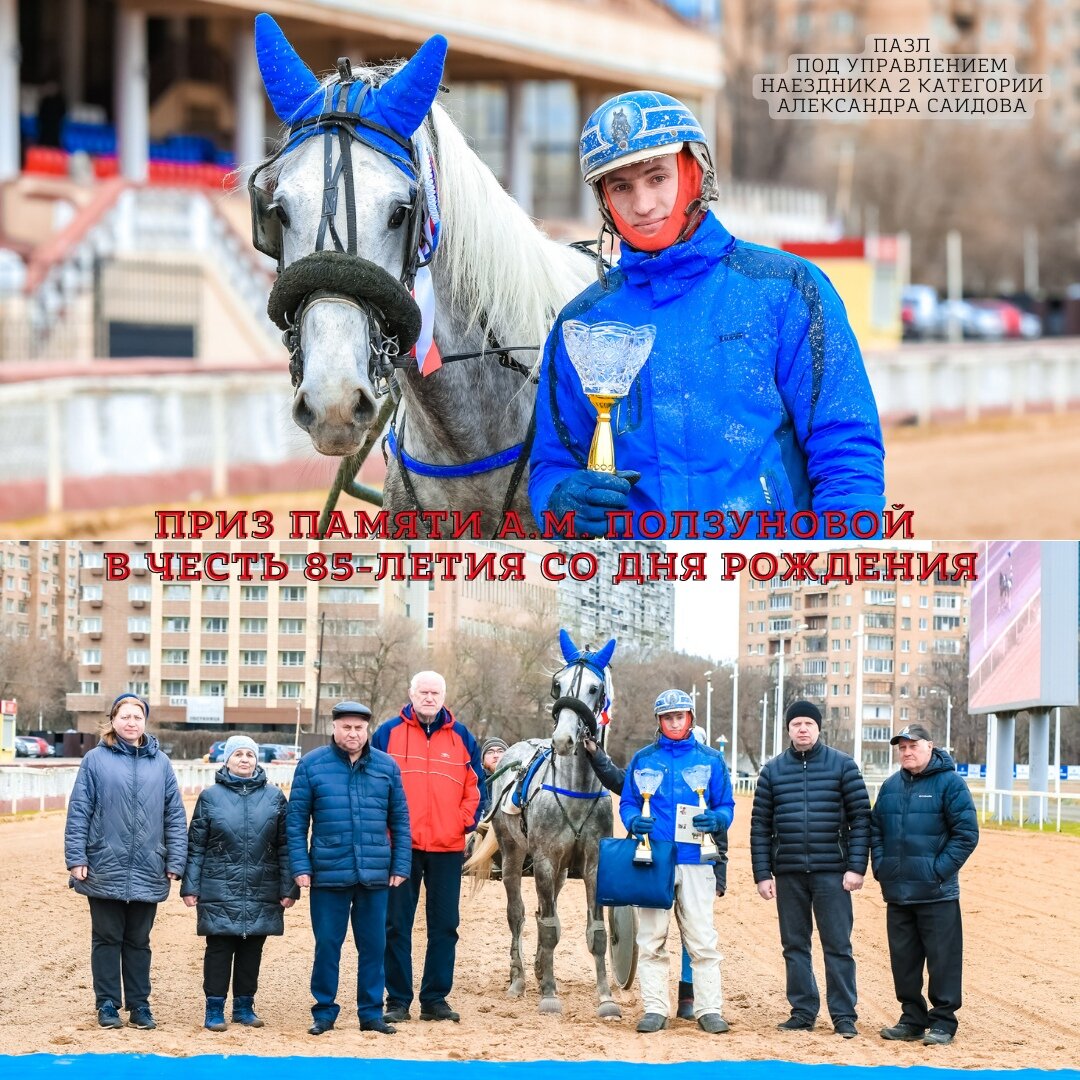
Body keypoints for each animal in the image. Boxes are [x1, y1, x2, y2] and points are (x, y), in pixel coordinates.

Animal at [464, 630, 617, 1015]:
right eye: (558, 684)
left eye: (595, 688)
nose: (562, 740)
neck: (575, 788)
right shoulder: (545, 860)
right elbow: (549, 928)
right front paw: (549, 993)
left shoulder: (593, 863)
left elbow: (596, 930)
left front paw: (606, 997)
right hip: (513, 854)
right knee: (518, 913)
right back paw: (518, 978)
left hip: (560, 871)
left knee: (541, 911)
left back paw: (535, 967)